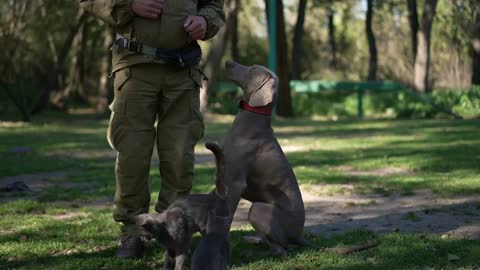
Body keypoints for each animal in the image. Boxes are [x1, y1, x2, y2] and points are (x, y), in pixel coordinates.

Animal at [136, 141, 230, 270]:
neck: (164, 231)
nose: (141, 239)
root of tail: (217, 195)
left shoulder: (182, 246)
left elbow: (179, 262)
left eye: (141, 233)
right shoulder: (170, 248)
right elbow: (167, 261)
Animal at [219, 60, 306, 254]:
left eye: (252, 69)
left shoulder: (235, 182)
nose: (228, 62)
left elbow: (227, 216)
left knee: (281, 248)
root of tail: (299, 235)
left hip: (259, 209)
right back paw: (254, 240)